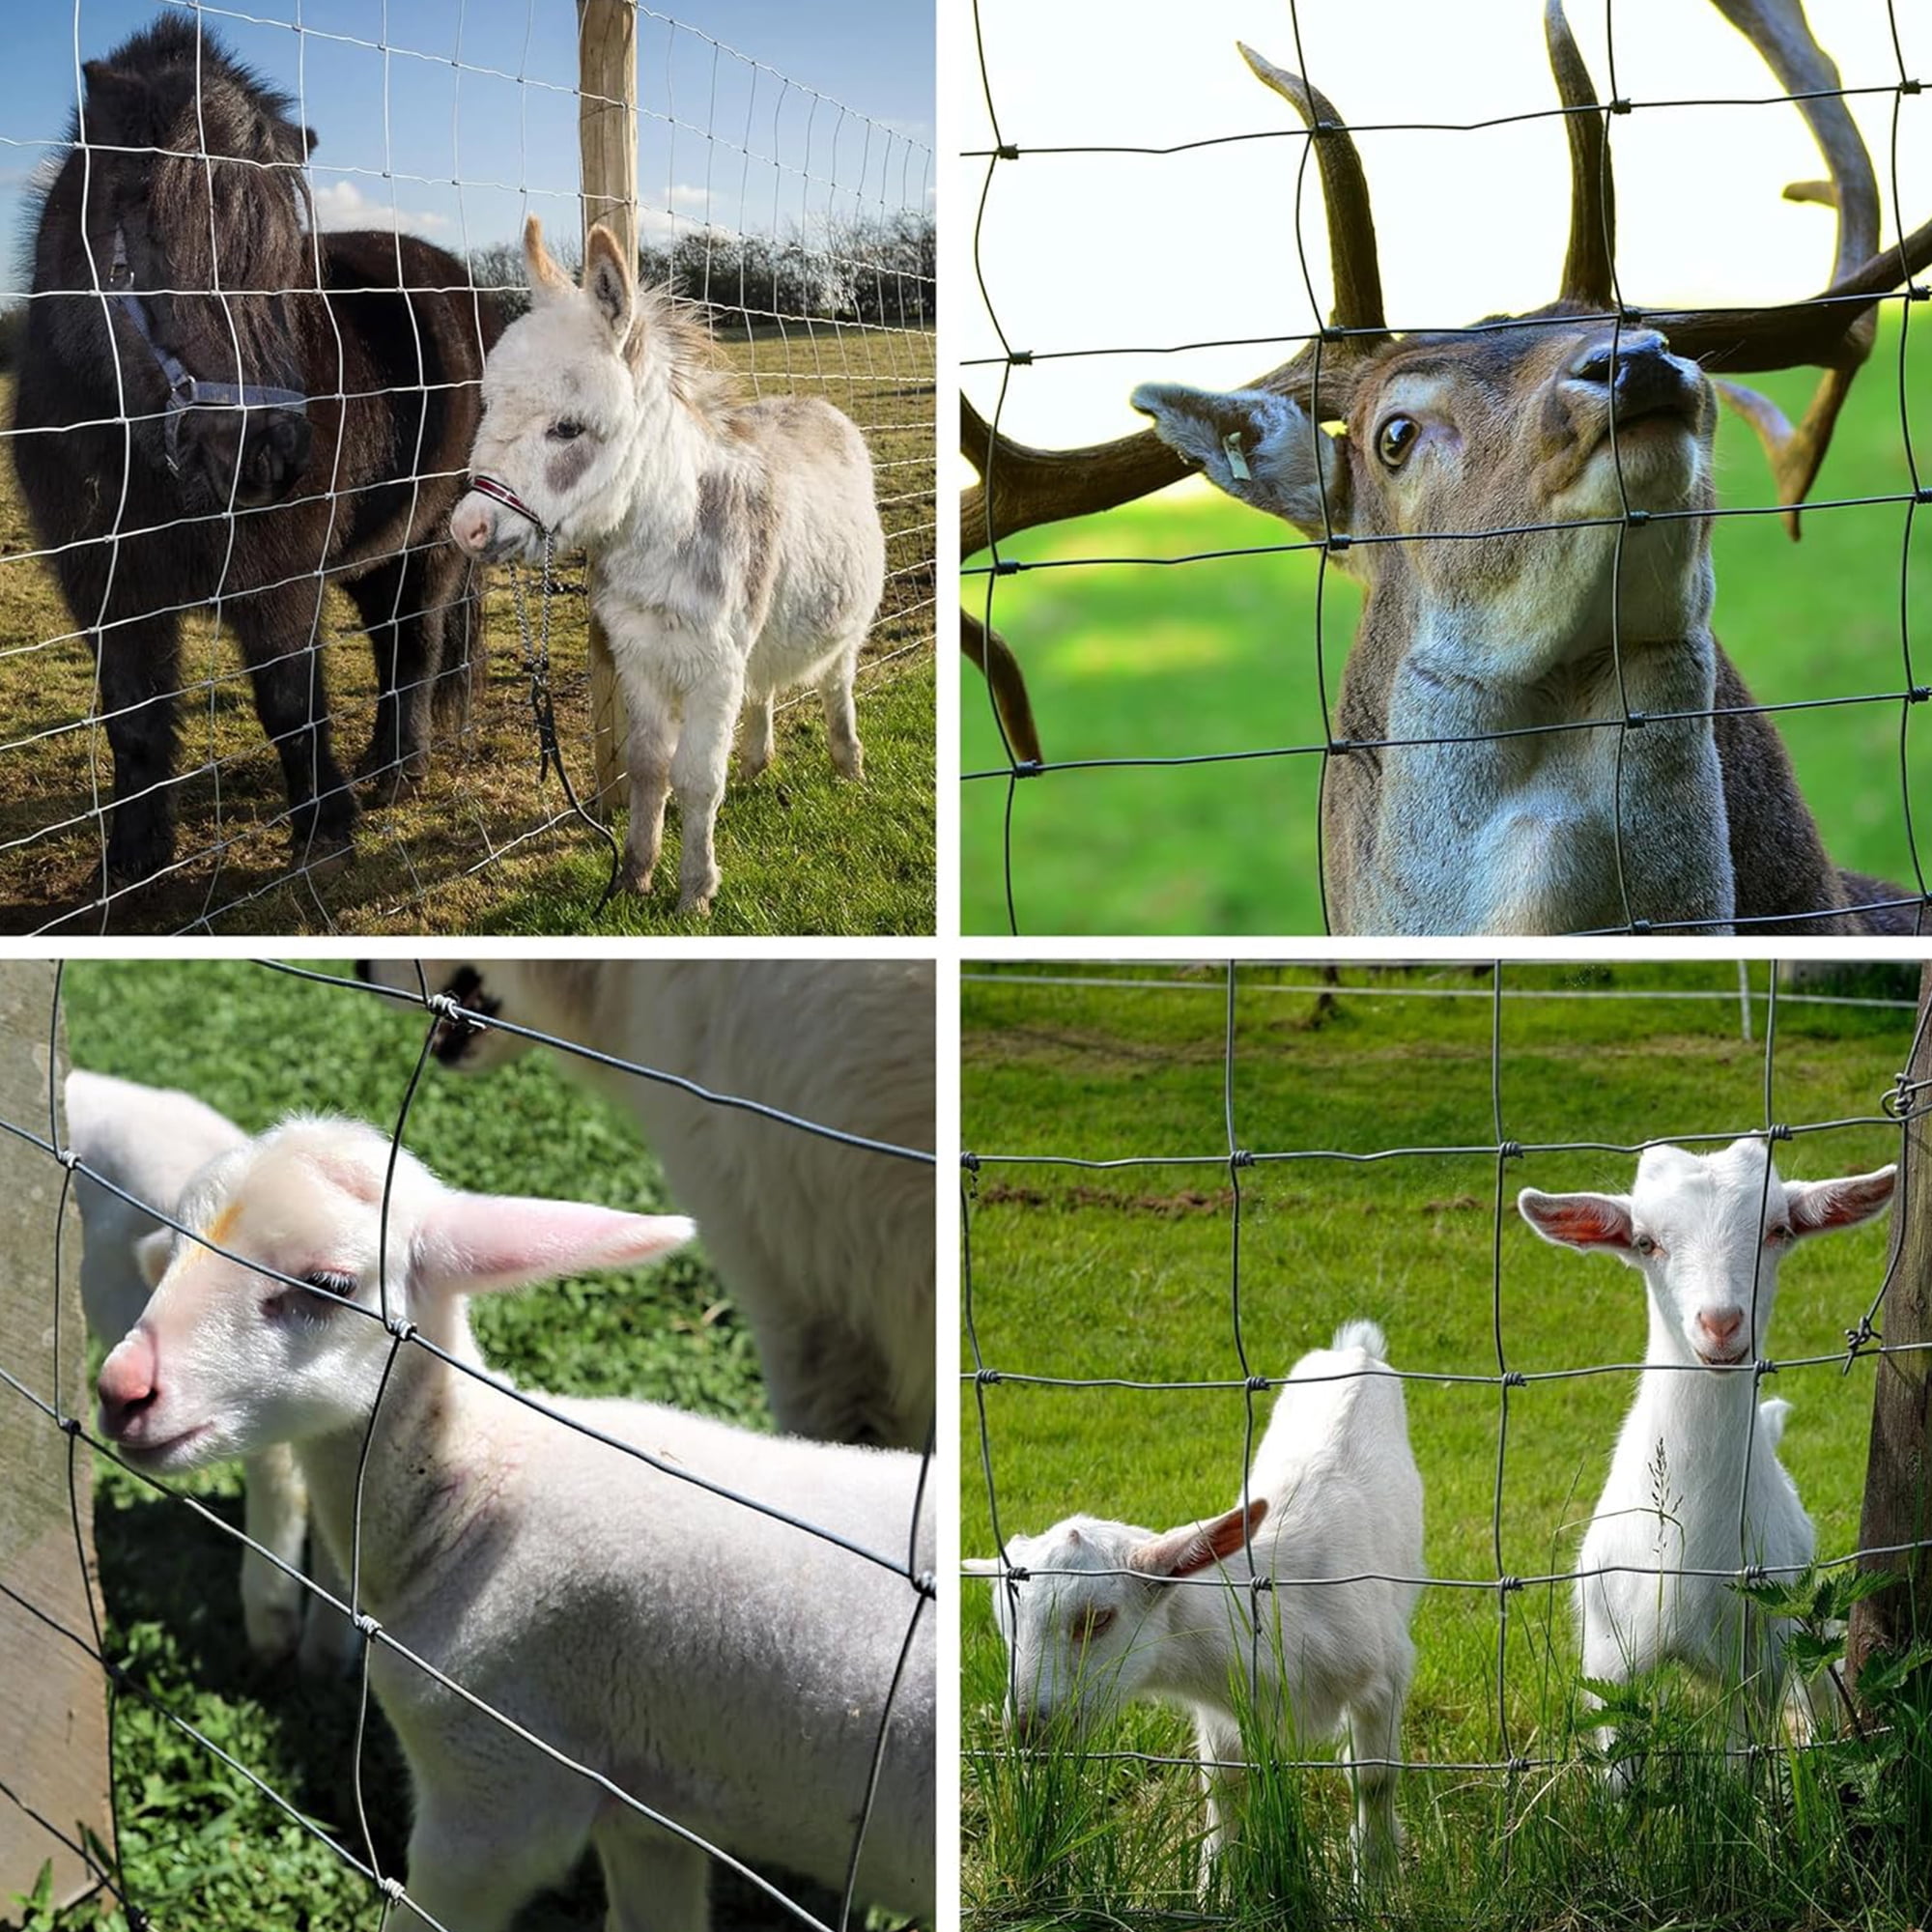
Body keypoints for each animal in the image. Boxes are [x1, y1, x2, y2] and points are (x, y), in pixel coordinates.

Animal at [94, 1116, 934, 1932]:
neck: (474, 1500)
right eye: (172, 1253)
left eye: (330, 1284)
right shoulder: (645, 1810)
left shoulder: (493, 1786)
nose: (123, 1390)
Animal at [449, 218, 887, 917]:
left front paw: (694, 893)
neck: (660, 543)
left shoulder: (714, 668)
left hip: (844, 624)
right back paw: (760, 762)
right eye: (490, 407)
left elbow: (698, 779)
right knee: (765, 690)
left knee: (835, 684)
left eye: (568, 429)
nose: (468, 528)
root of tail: (813, 404)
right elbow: (651, 767)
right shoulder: (639, 659)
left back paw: (849, 767)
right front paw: (635, 875)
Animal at [968, 1320, 1422, 1889]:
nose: (1028, 1729)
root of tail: (1355, 1350)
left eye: (1098, 1619)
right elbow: (1223, 1787)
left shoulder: (1388, 1671)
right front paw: (1217, 1886)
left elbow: (1374, 1778)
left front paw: (1375, 1880)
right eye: (1006, 1624)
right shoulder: (1221, 1714)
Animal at [1519, 1139, 1894, 1764]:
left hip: (1805, 1624)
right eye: (1645, 1241)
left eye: (1778, 1230)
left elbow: (1741, 1757)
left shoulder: (1758, 1660)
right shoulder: (1607, 1659)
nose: (1721, 1323)